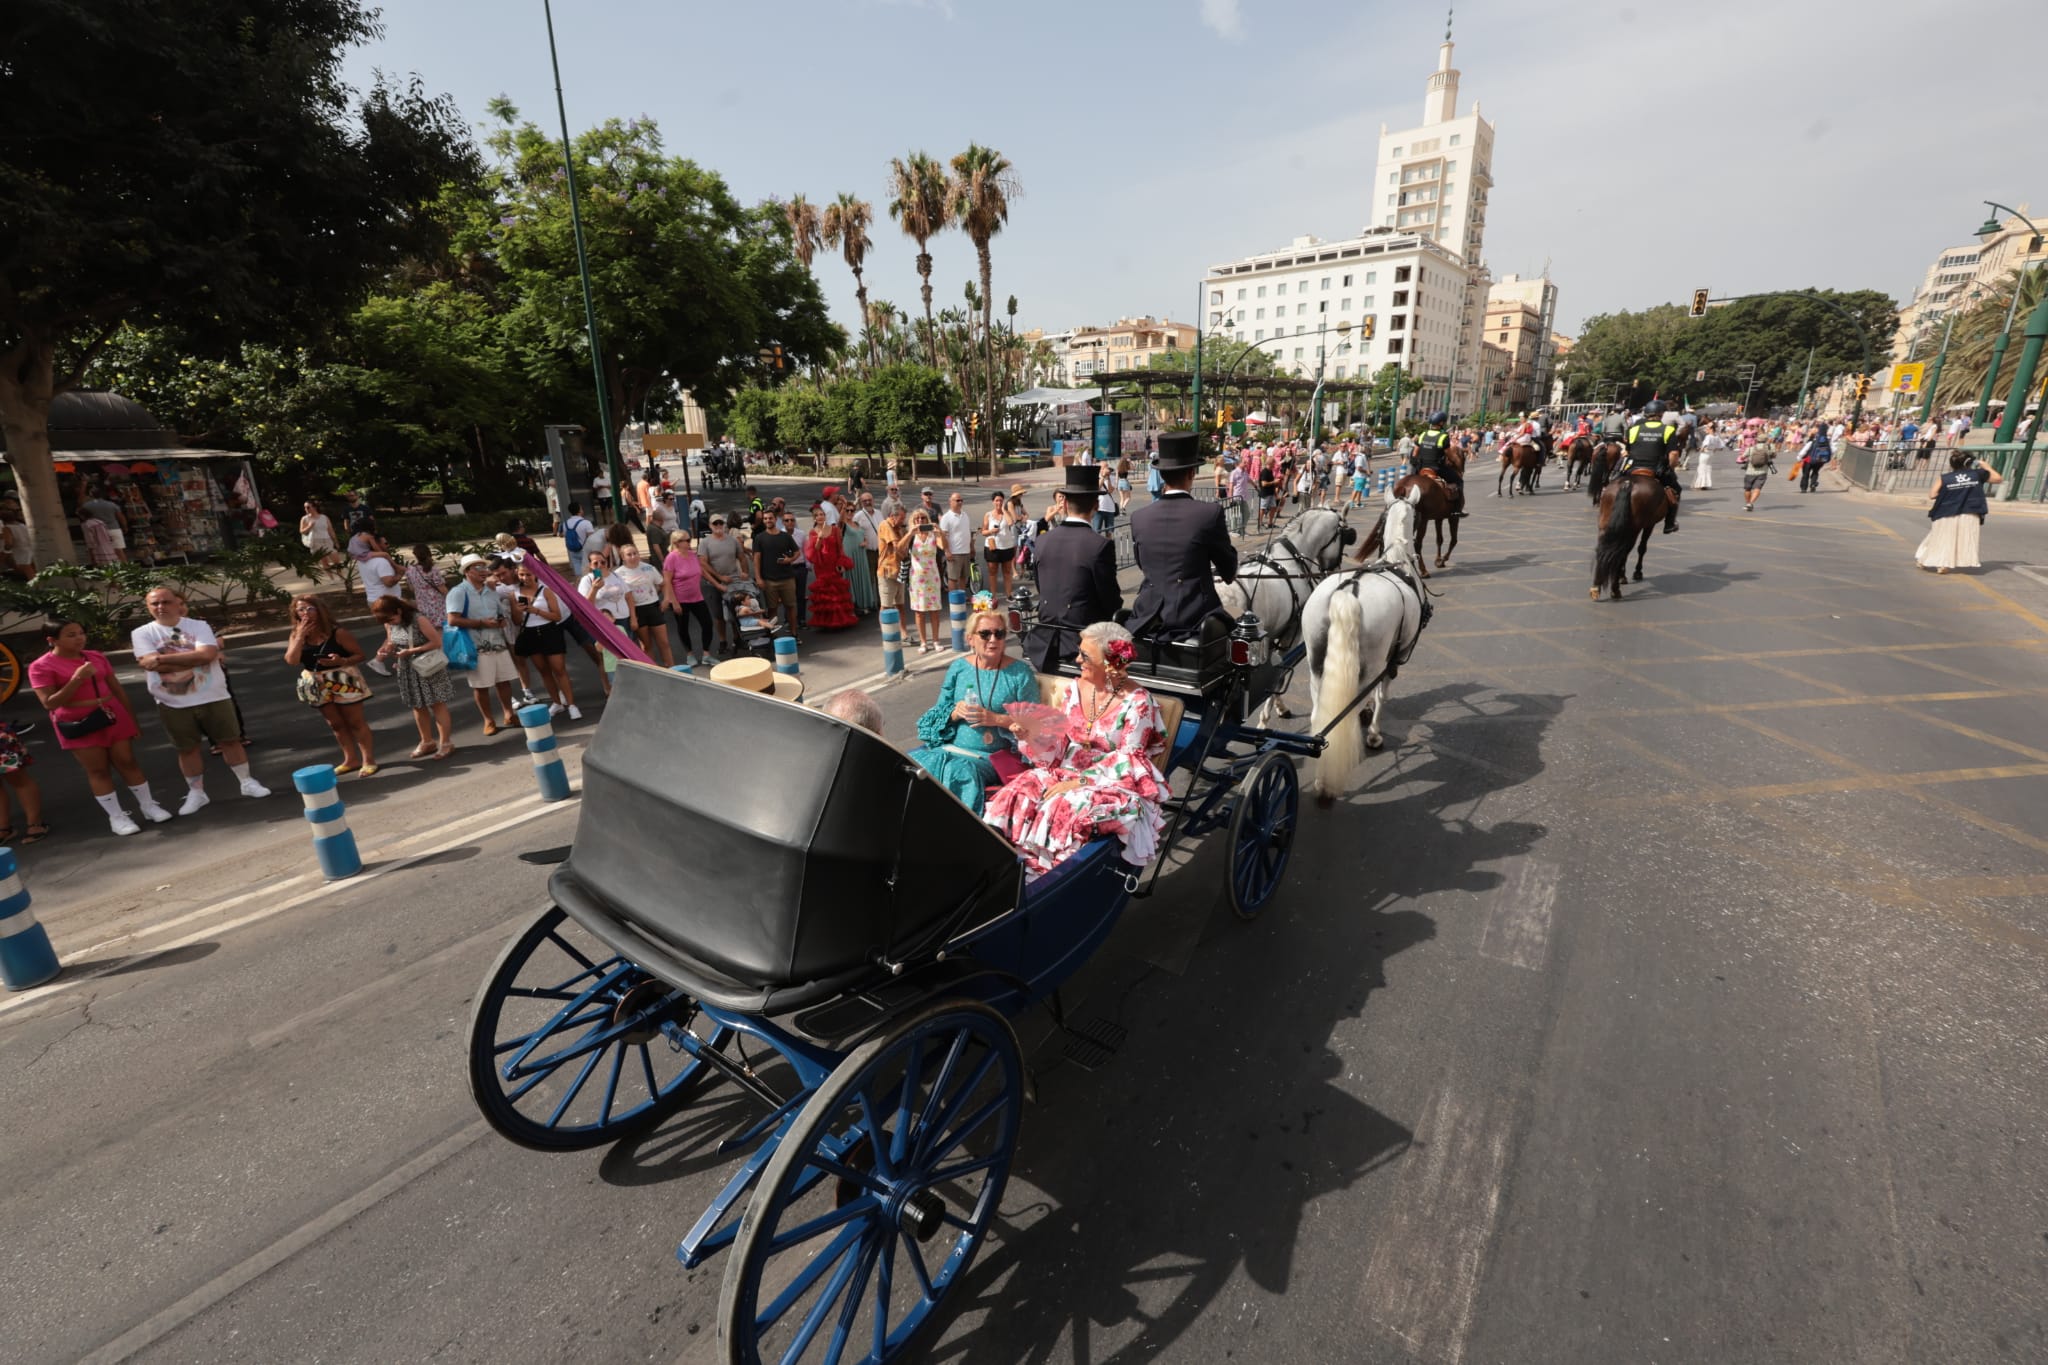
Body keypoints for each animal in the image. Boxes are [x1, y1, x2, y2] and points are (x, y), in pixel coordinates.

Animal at [1302, 489, 1433, 802]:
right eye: (1419, 515)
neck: (1397, 560)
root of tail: (1349, 589)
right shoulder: (1393, 659)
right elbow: (1381, 694)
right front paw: (1373, 732)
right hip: (1371, 661)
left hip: (1315, 663)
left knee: (1320, 715)